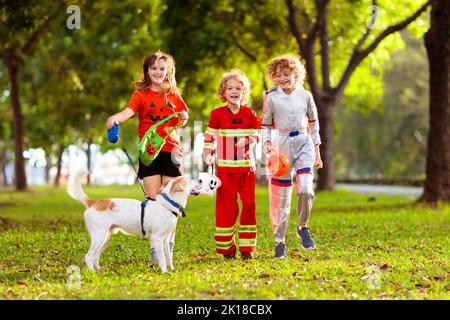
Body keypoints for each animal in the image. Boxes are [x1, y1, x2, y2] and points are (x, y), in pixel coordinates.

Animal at [67, 171, 213, 274]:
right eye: (189, 180)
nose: (201, 179)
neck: (168, 204)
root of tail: (93, 203)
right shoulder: (157, 238)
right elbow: (162, 257)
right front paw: (164, 272)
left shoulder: (165, 240)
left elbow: (168, 257)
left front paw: (171, 269)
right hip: (99, 237)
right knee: (88, 256)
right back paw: (92, 273)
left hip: (105, 239)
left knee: (95, 257)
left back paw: (98, 270)